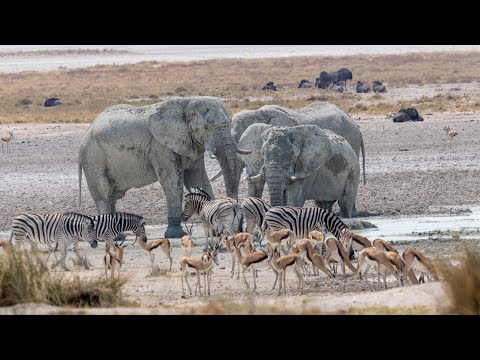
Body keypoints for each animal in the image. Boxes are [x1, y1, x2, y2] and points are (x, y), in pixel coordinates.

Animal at [79, 95, 251, 238]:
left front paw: (214, 229)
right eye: (206, 127)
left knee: (112, 197)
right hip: (93, 157)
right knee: (104, 194)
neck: (185, 104)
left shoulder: (192, 145)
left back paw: (117, 236)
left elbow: (198, 181)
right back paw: (111, 238)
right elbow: (173, 182)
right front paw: (176, 235)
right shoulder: (159, 145)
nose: (239, 229)